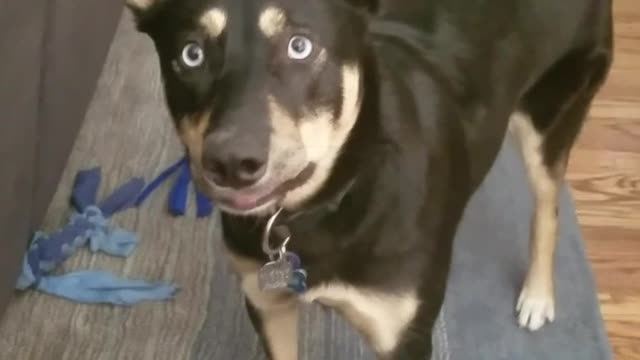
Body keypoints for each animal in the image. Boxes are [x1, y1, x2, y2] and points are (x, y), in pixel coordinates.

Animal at [124, 0, 616, 358]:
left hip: (549, 116)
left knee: (548, 206)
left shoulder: (403, 335)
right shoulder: (267, 304)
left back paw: (538, 295)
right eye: (191, 54)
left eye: (300, 45)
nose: (229, 163)